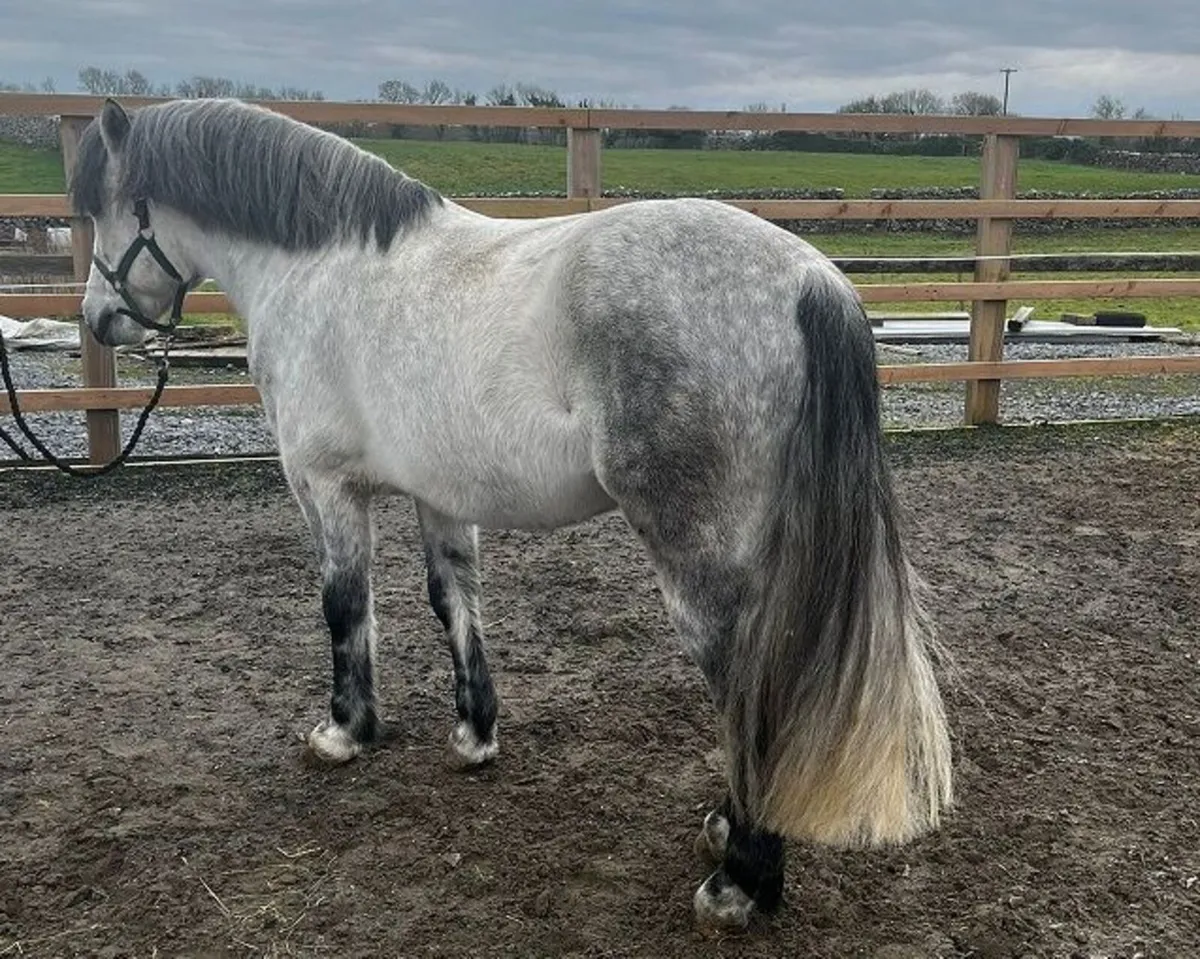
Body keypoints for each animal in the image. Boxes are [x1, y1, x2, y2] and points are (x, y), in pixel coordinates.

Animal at [71, 96, 952, 929]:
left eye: (102, 209)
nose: (98, 319)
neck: (321, 271)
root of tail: (809, 279)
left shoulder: (326, 487)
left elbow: (345, 608)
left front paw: (345, 730)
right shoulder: (439, 494)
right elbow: (453, 601)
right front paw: (474, 734)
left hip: (699, 562)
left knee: (742, 679)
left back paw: (739, 882)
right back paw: (726, 831)